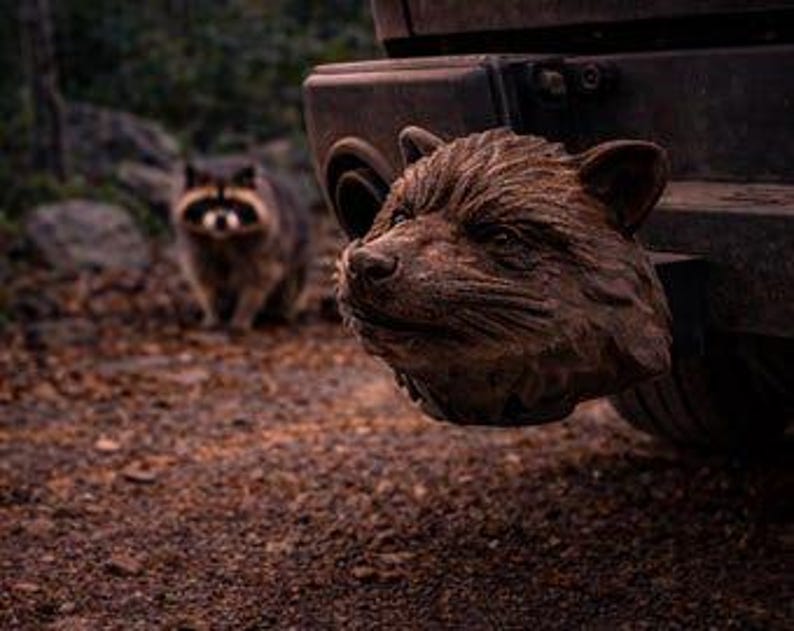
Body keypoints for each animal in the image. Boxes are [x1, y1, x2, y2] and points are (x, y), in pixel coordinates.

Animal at [172, 156, 310, 330]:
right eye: (207, 203)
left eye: (234, 204)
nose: (221, 220)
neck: (223, 238)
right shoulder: (196, 247)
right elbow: (203, 278)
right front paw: (211, 312)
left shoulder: (267, 245)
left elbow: (259, 279)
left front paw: (243, 314)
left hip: (296, 249)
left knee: (292, 280)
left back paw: (282, 311)